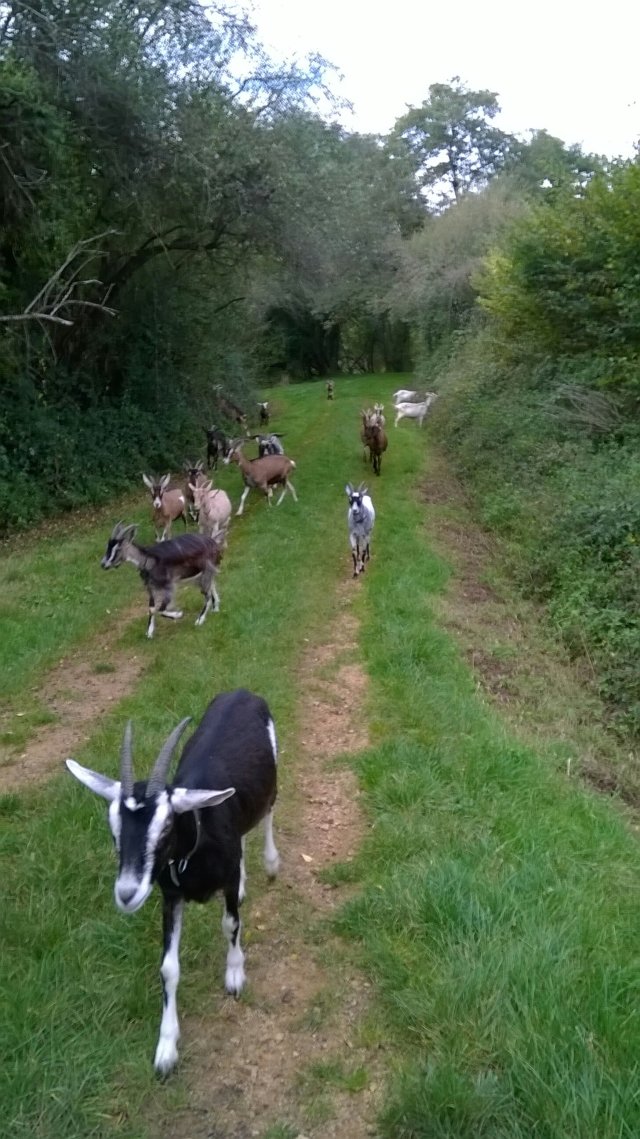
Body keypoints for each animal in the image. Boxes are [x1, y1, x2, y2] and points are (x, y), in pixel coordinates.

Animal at [66, 688, 280, 1075]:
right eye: (113, 829)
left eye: (165, 827)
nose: (127, 893)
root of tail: (242, 692)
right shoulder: (170, 896)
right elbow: (168, 968)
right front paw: (166, 1048)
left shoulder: (225, 878)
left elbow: (230, 924)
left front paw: (235, 976)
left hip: (271, 780)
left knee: (268, 811)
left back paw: (271, 863)